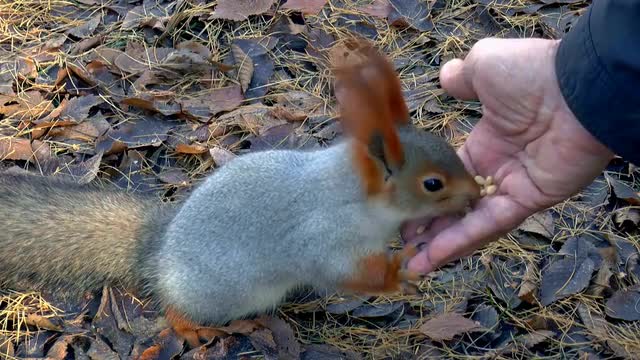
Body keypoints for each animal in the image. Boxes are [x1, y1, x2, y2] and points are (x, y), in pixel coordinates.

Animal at [0, 38, 480, 348]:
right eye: (432, 183)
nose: (476, 196)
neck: (352, 193)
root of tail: (157, 251)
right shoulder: (322, 237)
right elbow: (340, 271)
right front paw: (398, 274)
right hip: (218, 293)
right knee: (176, 309)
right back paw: (193, 328)